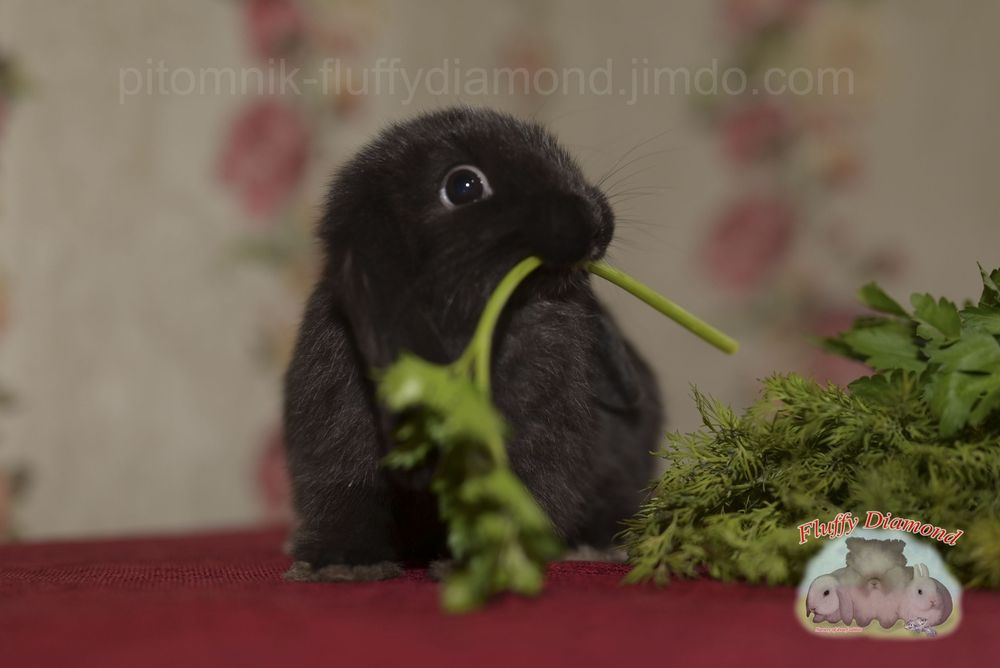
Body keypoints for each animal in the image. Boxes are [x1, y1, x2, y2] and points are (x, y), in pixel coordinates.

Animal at [282, 107, 663, 581]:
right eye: (464, 186)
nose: (596, 222)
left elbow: (523, 494)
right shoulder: (336, 440)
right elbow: (345, 497)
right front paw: (342, 563)